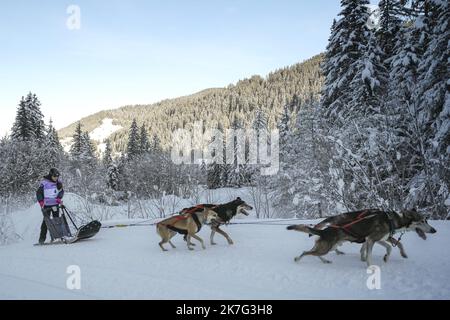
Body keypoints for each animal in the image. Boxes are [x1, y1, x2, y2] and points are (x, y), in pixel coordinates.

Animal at [288, 209, 436, 266]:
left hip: (328, 246)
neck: (392, 220)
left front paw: (386, 257)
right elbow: (370, 254)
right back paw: (297, 259)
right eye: (422, 221)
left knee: (314, 252)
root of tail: (324, 231)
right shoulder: (371, 239)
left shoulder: (377, 239)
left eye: (426, 220)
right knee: (306, 252)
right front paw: (370, 265)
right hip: (327, 247)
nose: (434, 230)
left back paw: (325, 261)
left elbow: (391, 247)